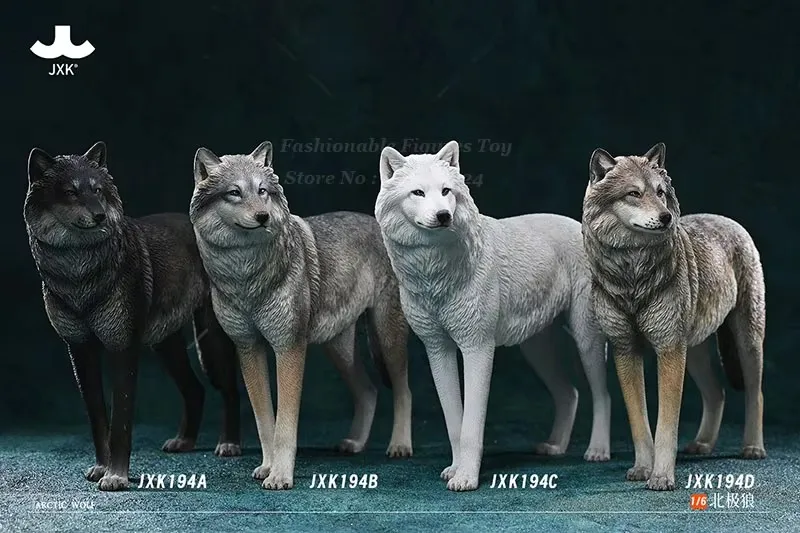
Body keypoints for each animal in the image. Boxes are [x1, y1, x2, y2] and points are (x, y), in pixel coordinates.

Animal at [24, 142, 241, 491]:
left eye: (97, 190)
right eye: (70, 192)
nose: (99, 215)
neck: (78, 272)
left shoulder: (122, 348)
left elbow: (121, 420)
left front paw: (116, 477)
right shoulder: (80, 350)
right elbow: (97, 416)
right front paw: (101, 468)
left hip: (211, 344)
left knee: (231, 390)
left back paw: (229, 444)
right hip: (166, 346)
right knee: (195, 390)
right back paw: (183, 442)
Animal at [189, 141, 413, 490]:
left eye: (262, 191)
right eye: (234, 193)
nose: (263, 216)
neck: (245, 277)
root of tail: (381, 226)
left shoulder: (288, 348)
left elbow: (285, 424)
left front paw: (281, 476)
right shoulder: (249, 349)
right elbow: (264, 421)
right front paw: (267, 468)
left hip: (387, 339)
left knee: (404, 390)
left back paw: (400, 446)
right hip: (339, 351)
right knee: (369, 391)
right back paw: (354, 443)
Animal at [375, 140, 612, 491]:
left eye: (446, 191)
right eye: (418, 193)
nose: (444, 216)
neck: (434, 273)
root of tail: (580, 226)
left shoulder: (477, 348)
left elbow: (471, 426)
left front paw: (466, 479)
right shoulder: (438, 350)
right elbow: (454, 423)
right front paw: (455, 469)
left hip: (587, 341)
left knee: (602, 395)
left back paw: (597, 451)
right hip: (536, 351)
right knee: (570, 394)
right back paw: (555, 447)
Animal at [582, 143, 766, 491]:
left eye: (660, 192)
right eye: (634, 194)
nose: (666, 218)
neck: (632, 275)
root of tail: (729, 221)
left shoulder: (668, 350)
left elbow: (666, 425)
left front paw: (662, 477)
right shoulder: (627, 350)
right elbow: (639, 421)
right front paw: (643, 468)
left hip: (746, 342)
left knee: (755, 392)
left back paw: (753, 448)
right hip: (693, 352)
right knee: (717, 393)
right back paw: (702, 444)